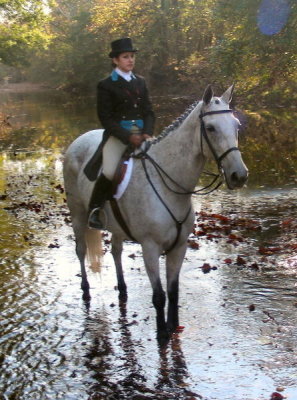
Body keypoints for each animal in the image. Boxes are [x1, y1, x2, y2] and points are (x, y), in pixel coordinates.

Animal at [63, 86, 247, 340]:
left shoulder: (179, 247)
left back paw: (122, 289)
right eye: (210, 128)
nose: (239, 175)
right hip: (77, 214)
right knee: (81, 251)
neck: (168, 185)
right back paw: (86, 291)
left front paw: (174, 327)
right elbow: (159, 296)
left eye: (236, 125)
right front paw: (162, 335)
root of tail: (80, 138)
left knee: (116, 252)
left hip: (117, 227)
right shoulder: (150, 247)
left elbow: (174, 292)